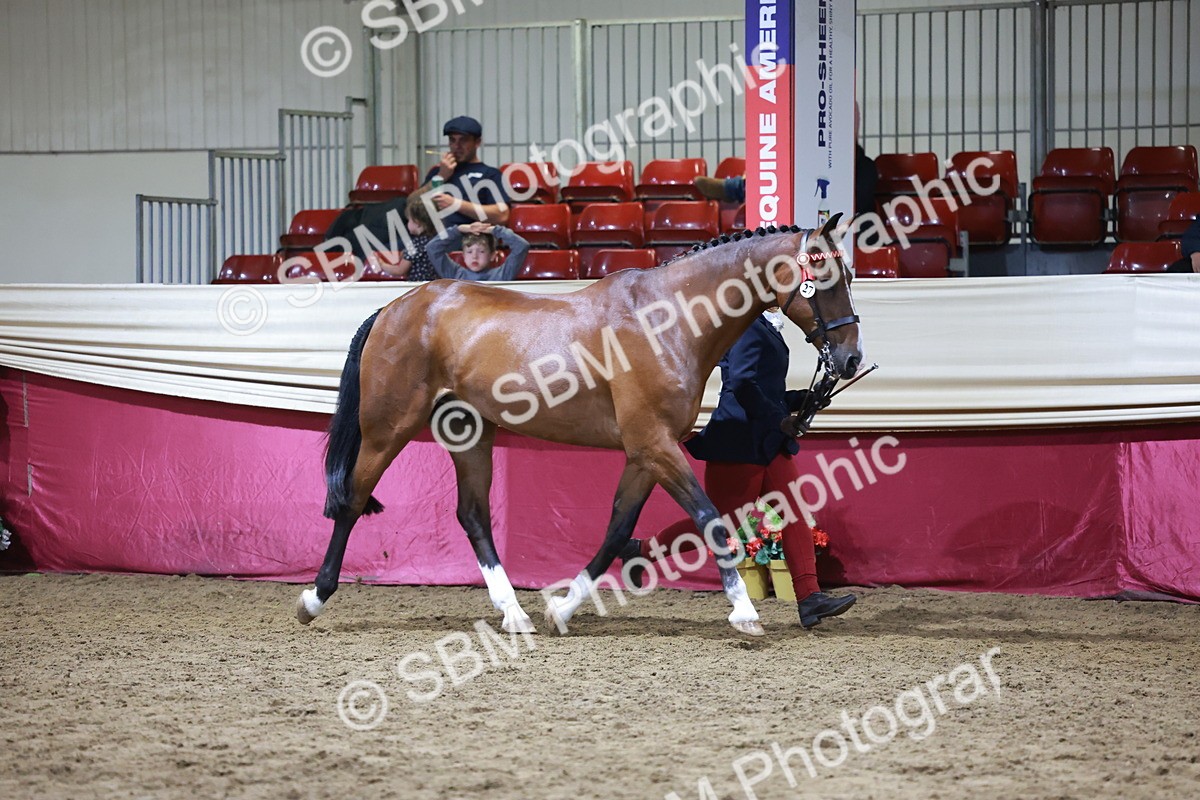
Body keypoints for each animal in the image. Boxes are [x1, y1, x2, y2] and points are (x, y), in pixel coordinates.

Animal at [296, 215, 863, 637]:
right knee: (351, 500)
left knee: (473, 516)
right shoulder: (655, 446)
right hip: (387, 429)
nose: (851, 358)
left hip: (469, 433)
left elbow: (618, 531)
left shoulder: (645, 453)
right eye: (826, 279)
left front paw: (561, 610)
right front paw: (744, 612)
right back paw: (313, 599)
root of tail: (394, 306)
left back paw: (515, 613)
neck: (670, 320)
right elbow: (709, 518)